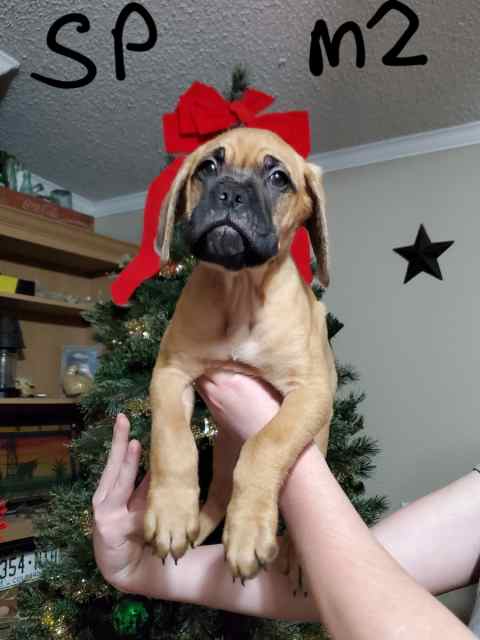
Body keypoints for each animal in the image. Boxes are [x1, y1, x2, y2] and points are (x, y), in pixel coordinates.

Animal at [144, 127, 336, 584]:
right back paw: (194, 527)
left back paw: (295, 555)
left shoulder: (310, 392)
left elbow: (266, 445)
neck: (240, 292)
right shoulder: (170, 373)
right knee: (215, 493)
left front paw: (248, 532)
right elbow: (172, 440)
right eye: (207, 167)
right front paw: (172, 512)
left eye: (278, 178)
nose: (230, 194)